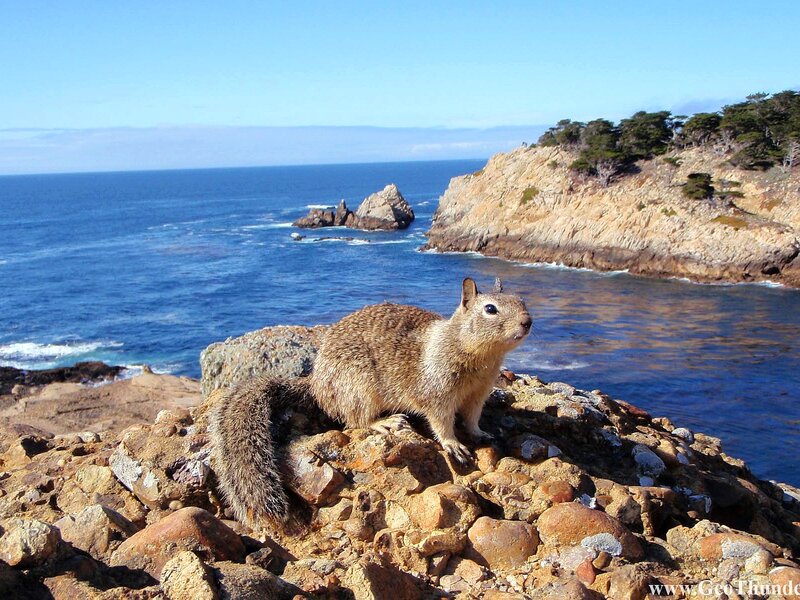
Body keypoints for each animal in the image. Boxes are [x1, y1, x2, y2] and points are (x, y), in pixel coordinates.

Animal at [209, 277, 532, 527]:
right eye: (490, 309)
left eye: (521, 300)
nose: (528, 322)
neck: (477, 354)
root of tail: (316, 384)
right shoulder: (437, 392)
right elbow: (441, 422)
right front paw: (453, 444)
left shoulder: (479, 393)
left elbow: (473, 417)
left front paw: (481, 433)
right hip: (360, 388)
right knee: (355, 421)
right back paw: (385, 422)